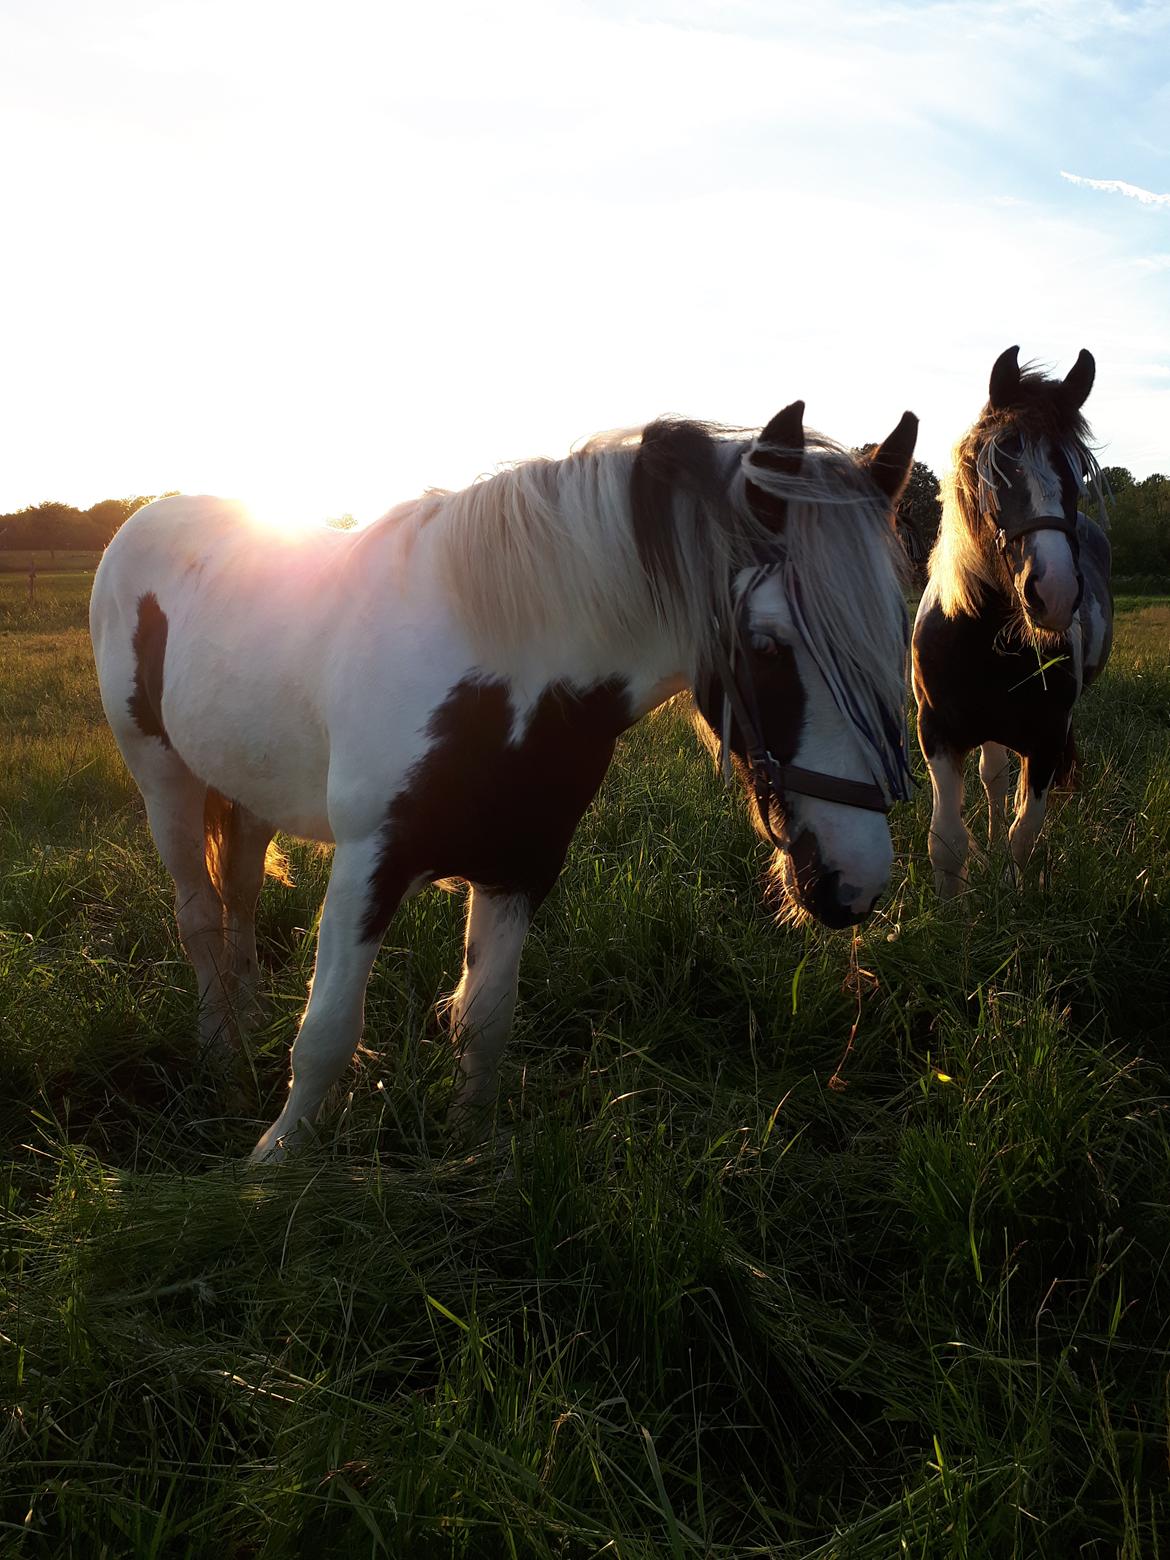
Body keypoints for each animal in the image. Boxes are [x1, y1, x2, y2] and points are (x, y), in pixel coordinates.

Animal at [89, 402, 917, 1160]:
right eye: (768, 645)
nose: (856, 882)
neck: (502, 670)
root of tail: (149, 519)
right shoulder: (368, 861)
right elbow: (327, 1034)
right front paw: (273, 1166)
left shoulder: (519, 867)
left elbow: (483, 1022)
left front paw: (470, 1155)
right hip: (162, 778)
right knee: (199, 915)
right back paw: (221, 1054)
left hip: (246, 784)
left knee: (241, 893)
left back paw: (248, 1018)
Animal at [911, 347, 1110, 898]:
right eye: (997, 467)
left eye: (1077, 474)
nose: (1055, 591)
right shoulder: (937, 732)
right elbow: (947, 839)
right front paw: (952, 908)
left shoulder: (1045, 740)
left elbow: (1026, 832)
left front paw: (1014, 892)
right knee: (993, 777)